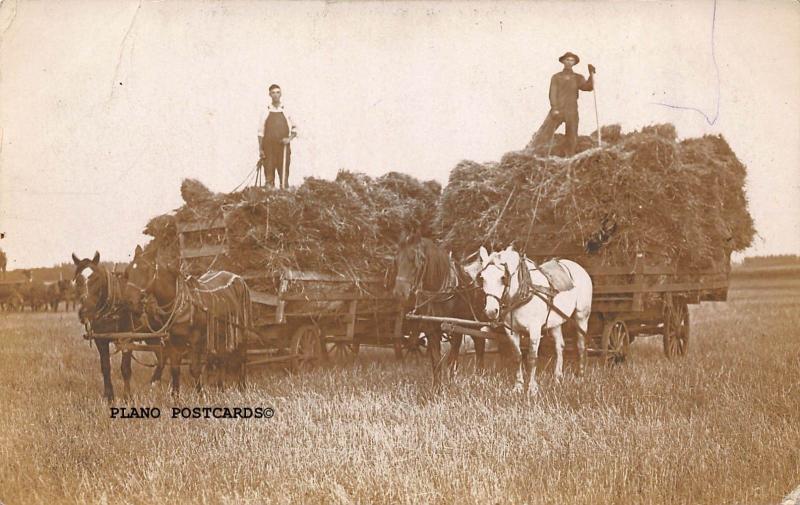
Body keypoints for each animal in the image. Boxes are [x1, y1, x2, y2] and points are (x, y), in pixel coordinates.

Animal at [72, 252, 164, 402]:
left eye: (96, 278)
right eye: (76, 280)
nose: (85, 312)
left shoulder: (126, 338)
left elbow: (125, 368)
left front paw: (127, 396)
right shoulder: (100, 340)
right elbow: (105, 367)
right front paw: (108, 396)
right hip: (152, 335)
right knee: (162, 355)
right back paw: (155, 383)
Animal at [125, 244, 252, 394]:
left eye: (145, 269)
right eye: (128, 271)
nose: (129, 301)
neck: (182, 304)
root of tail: (238, 278)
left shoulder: (195, 342)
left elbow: (194, 370)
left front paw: (201, 394)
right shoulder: (173, 343)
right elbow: (175, 370)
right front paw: (175, 396)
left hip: (240, 331)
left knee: (241, 358)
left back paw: (242, 387)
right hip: (221, 335)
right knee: (221, 359)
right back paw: (220, 387)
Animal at [390, 233, 484, 386]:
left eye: (414, 259)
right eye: (396, 260)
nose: (399, 293)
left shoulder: (456, 329)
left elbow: (452, 360)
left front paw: (451, 385)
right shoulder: (431, 330)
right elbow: (436, 362)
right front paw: (437, 389)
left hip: (477, 323)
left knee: (480, 345)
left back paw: (480, 376)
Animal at [476, 246, 592, 392]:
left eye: (503, 277)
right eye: (482, 278)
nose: (491, 311)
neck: (522, 293)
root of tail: (577, 266)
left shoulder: (535, 330)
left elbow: (532, 358)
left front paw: (532, 388)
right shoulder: (511, 330)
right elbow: (518, 356)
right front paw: (518, 386)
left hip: (582, 316)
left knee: (581, 345)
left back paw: (580, 377)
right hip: (555, 322)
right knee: (560, 346)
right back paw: (557, 377)